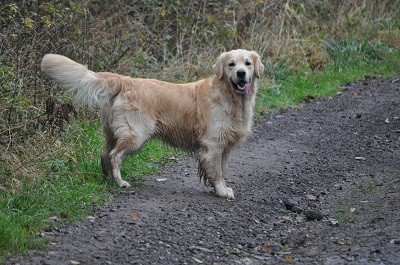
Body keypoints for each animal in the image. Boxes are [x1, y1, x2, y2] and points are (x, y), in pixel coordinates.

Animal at [40, 49, 264, 198]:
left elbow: (222, 169)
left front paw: (221, 188)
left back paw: (107, 179)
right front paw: (222, 191)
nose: (241, 73)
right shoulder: (213, 144)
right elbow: (216, 171)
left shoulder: (225, 147)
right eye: (231, 64)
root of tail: (126, 80)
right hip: (136, 135)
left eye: (247, 63)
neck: (231, 99)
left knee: (104, 154)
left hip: (114, 133)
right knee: (114, 156)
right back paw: (121, 182)